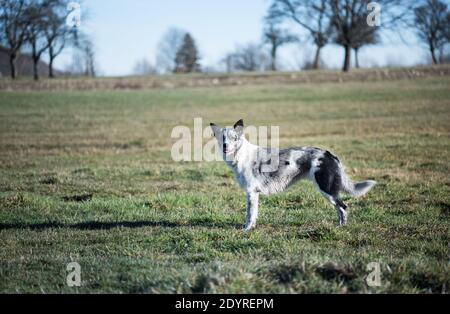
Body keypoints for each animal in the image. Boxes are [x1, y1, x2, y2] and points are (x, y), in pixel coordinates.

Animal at [211, 119, 376, 232]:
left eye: (234, 138)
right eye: (222, 138)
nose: (225, 146)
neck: (241, 155)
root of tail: (329, 154)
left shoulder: (251, 192)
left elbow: (249, 215)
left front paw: (246, 230)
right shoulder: (254, 194)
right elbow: (253, 214)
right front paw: (250, 228)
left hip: (326, 189)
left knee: (343, 207)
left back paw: (341, 228)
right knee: (340, 208)